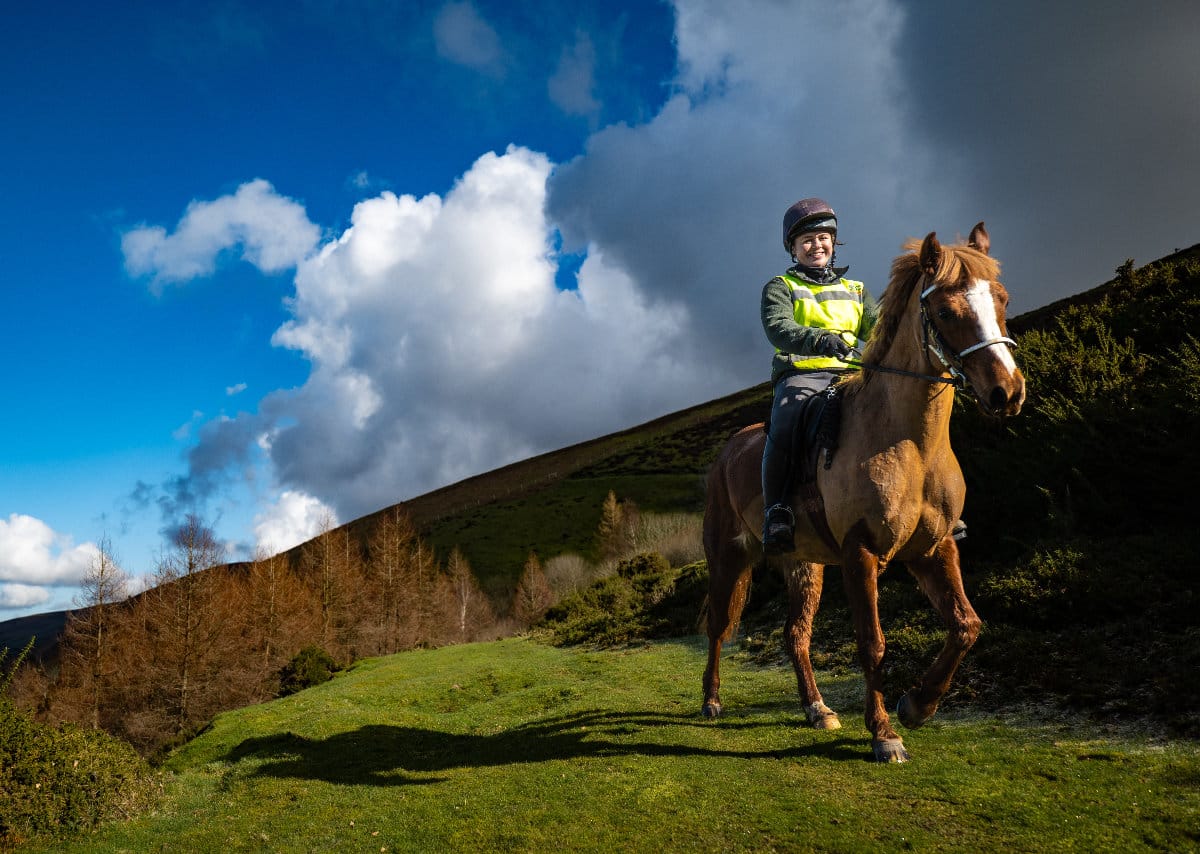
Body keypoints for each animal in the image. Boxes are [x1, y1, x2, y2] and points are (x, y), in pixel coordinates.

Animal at [701, 223, 1025, 762]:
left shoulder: (935, 549)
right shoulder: (862, 553)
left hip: (804, 566)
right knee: (719, 626)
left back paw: (817, 708)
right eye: (945, 311)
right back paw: (711, 700)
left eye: (1000, 298)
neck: (910, 443)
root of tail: (729, 448)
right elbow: (872, 642)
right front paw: (884, 734)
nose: (1008, 392)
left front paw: (918, 705)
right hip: (728, 557)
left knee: (796, 635)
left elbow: (966, 625)